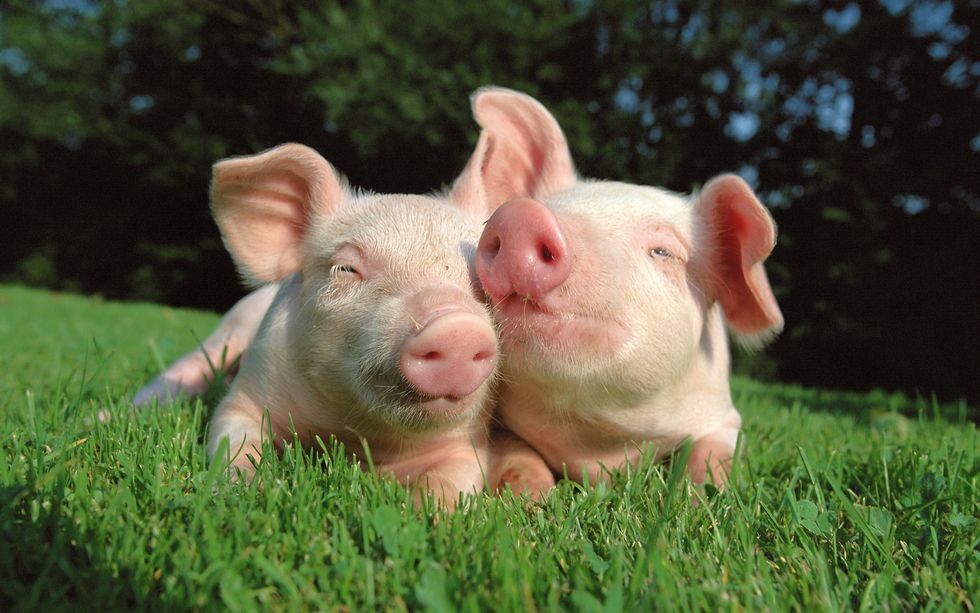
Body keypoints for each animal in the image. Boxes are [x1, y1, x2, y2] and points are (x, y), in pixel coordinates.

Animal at [457, 87, 785, 490]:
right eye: (542, 207)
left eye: (663, 251)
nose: (521, 216)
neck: (600, 446)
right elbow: (519, 454)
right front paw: (529, 496)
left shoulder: (724, 415)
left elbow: (712, 452)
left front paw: (706, 494)